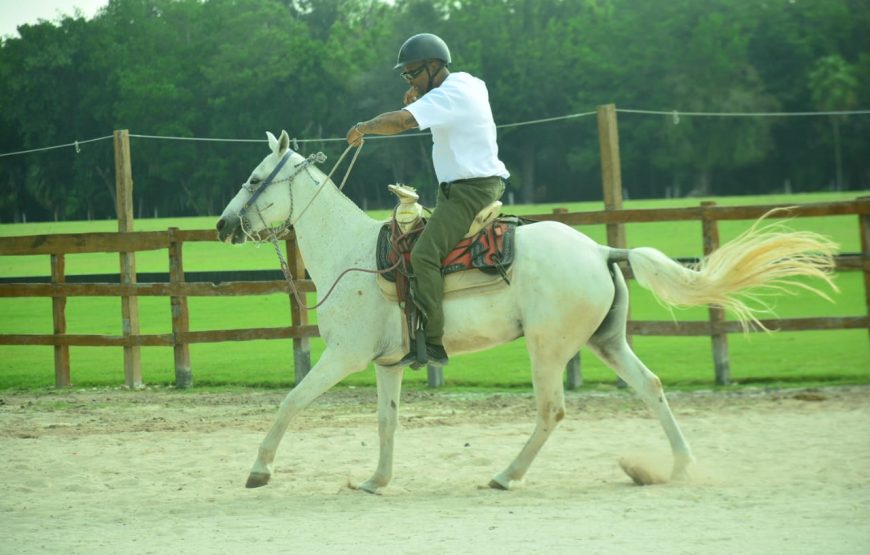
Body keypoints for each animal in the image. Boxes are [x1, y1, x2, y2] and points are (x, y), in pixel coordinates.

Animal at [216, 130, 837, 493]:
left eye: (254, 179)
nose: (222, 225)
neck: (352, 255)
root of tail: (601, 250)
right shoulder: (386, 363)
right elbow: (386, 422)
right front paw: (376, 480)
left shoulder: (343, 356)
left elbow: (291, 401)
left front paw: (259, 469)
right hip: (607, 342)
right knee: (651, 386)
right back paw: (678, 467)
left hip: (548, 347)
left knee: (551, 411)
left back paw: (506, 475)